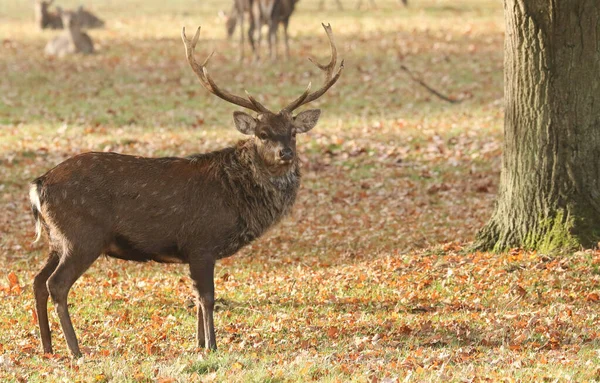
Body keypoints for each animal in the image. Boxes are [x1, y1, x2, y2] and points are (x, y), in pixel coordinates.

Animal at [30, 22, 344, 358]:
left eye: (293, 132)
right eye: (262, 133)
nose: (286, 152)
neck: (236, 199)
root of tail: (39, 184)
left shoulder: (195, 251)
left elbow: (194, 297)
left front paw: (199, 343)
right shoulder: (201, 242)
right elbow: (207, 298)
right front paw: (214, 346)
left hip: (57, 239)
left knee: (37, 281)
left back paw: (47, 347)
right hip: (82, 236)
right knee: (56, 284)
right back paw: (75, 350)